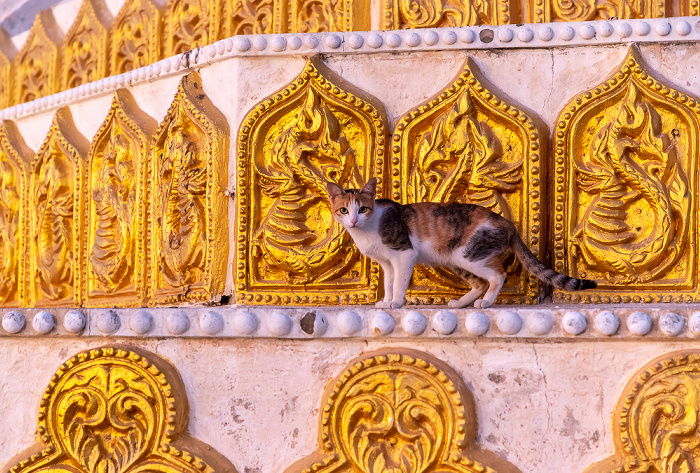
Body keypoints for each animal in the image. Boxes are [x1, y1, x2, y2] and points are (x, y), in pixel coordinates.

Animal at [328, 178, 596, 310]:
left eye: (363, 209)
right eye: (343, 210)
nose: (353, 220)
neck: (367, 229)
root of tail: (507, 223)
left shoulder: (404, 254)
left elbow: (399, 283)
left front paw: (395, 302)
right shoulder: (386, 262)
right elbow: (389, 282)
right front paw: (385, 301)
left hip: (469, 255)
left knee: (498, 276)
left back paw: (486, 302)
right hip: (454, 259)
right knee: (479, 283)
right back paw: (460, 303)